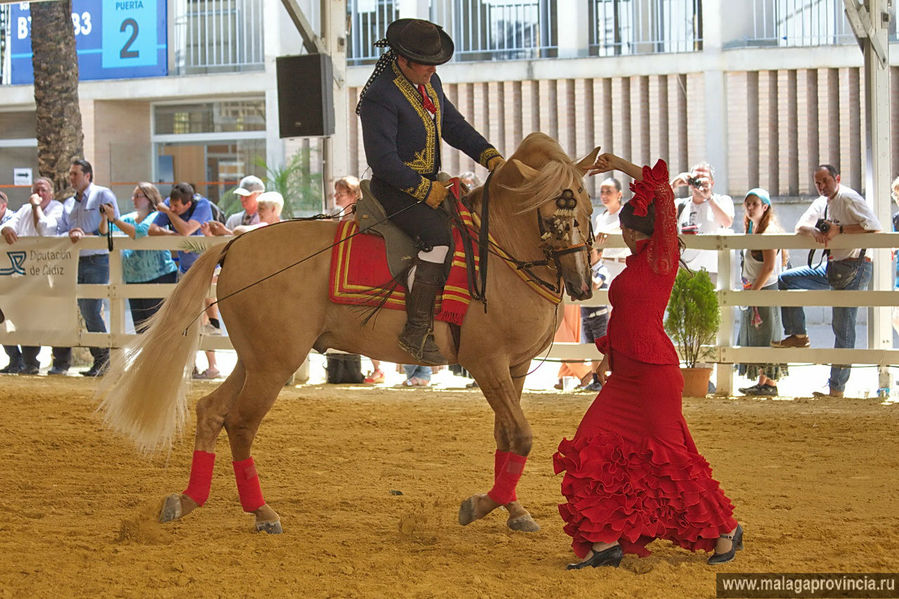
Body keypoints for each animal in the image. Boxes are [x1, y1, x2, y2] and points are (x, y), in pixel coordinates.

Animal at [98, 134, 596, 536]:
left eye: (587, 209)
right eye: (553, 214)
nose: (581, 284)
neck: (500, 252)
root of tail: (235, 242)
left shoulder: (513, 368)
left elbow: (506, 437)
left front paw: (513, 509)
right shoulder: (487, 363)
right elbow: (522, 435)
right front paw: (479, 505)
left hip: (257, 359)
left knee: (211, 412)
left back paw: (188, 500)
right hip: (274, 363)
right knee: (240, 423)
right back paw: (261, 512)